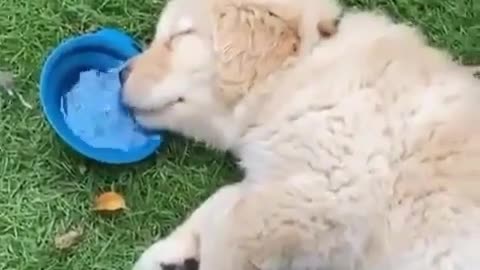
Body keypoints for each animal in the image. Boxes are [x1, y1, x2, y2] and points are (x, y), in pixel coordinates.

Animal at [124, 0, 480, 270]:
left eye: (180, 34)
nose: (120, 73)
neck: (298, 73)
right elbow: (225, 198)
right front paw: (168, 255)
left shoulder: (328, 188)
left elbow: (232, 227)